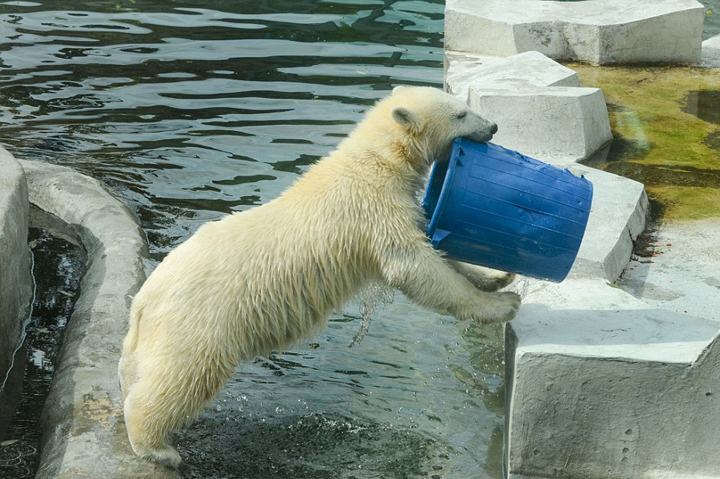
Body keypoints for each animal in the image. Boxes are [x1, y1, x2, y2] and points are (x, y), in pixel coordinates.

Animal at [118, 86, 521, 468]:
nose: (493, 127)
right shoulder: (374, 211)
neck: (376, 161)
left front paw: (498, 276)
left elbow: (436, 252)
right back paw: (157, 448)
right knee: (185, 376)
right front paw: (504, 304)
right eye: (460, 113)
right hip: (201, 320)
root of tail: (144, 300)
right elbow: (415, 266)